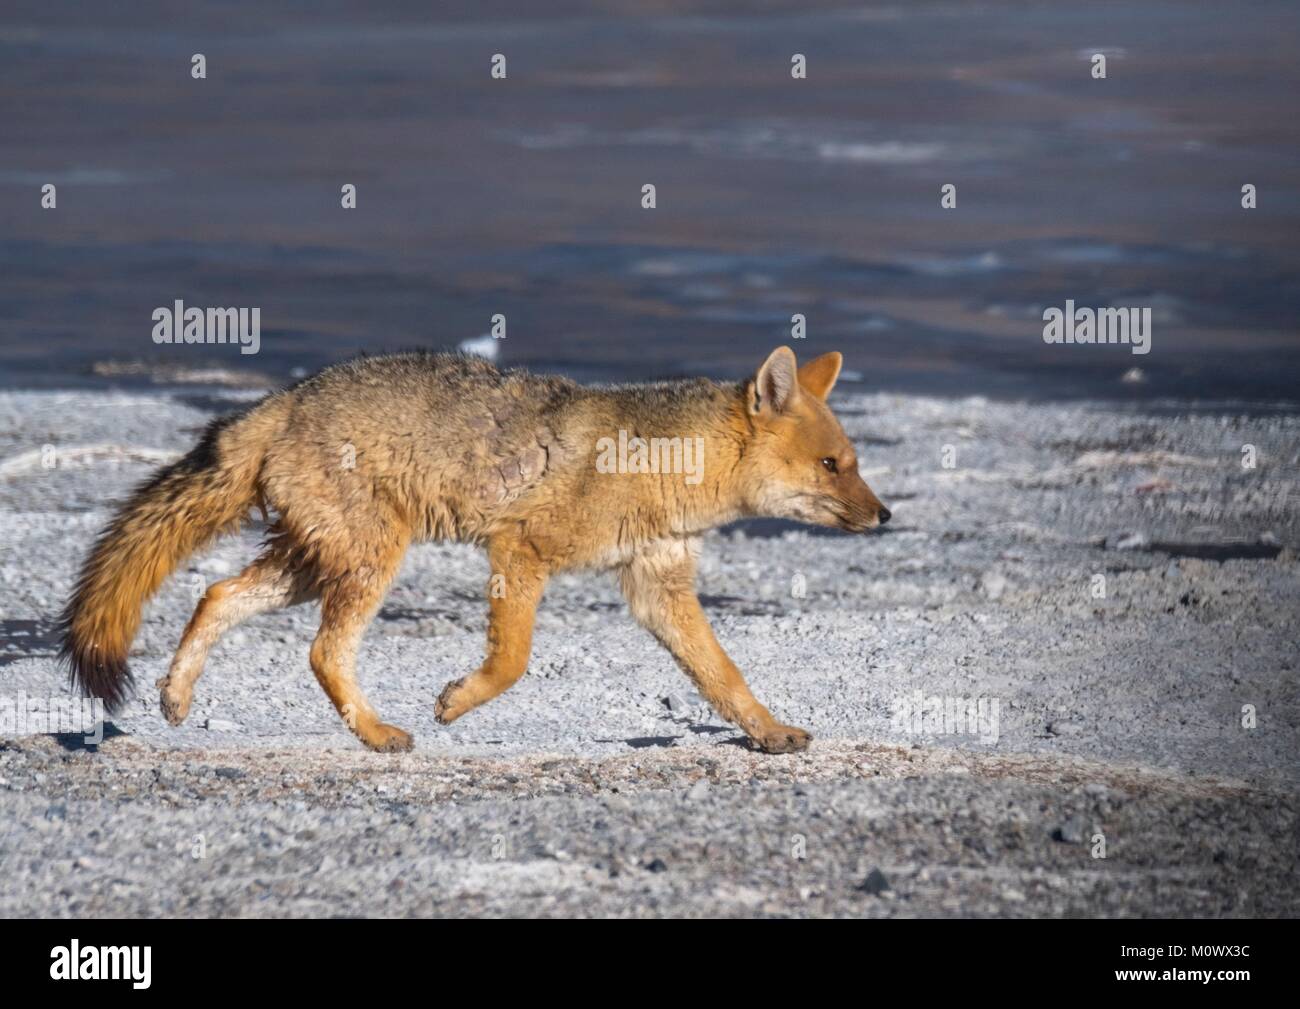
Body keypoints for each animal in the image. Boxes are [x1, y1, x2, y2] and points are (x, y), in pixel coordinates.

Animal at [59, 346, 890, 754]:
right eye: (832, 466)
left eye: (852, 462)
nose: (884, 515)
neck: (662, 461)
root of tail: (282, 400)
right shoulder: (520, 548)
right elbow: (513, 659)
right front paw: (457, 700)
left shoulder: (658, 585)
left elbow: (725, 675)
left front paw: (769, 731)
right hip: (368, 561)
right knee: (323, 651)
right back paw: (378, 733)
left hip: (314, 564)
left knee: (216, 594)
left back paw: (176, 696)